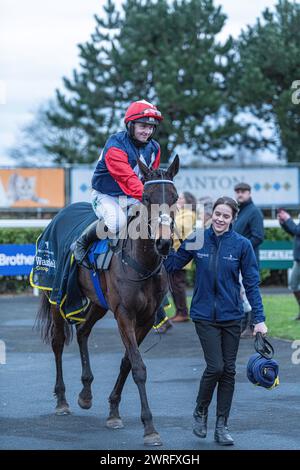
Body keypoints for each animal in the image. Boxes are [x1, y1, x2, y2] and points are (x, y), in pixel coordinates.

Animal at [36, 156, 179, 446]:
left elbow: (127, 362)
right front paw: (150, 428)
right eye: (146, 197)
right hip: (56, 297)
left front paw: (113, 411)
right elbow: (138, 367)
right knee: (58, 342)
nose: (164, 243)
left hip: (99, 304)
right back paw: (62, 400)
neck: (140, 262)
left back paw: (86, 393)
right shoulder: (124, 314)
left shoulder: (146, 318)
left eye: (175, 197)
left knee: (82, 331)